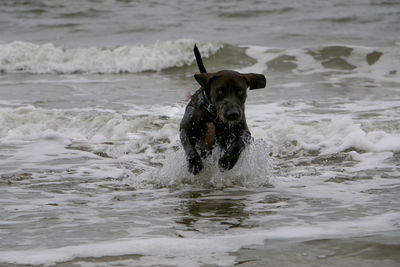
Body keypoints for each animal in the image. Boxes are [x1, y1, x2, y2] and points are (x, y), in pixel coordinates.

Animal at [180, 45, 268, 176]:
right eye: (220, 91)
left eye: (240, 91)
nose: (233, 114)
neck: (213, 116)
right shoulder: (186, 128)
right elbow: (188, 145)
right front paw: (195, 163)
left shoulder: (245, 132)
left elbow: (239, 143)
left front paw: (227, 161)